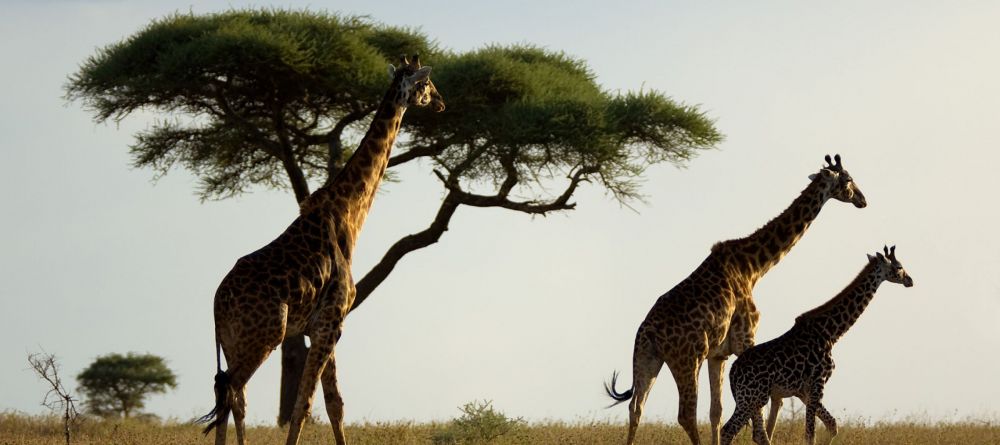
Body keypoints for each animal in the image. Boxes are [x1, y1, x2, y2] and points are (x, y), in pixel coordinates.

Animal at [196, 55, 446, 444]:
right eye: (426, 84)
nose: (441, 103)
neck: (348, 212)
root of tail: (217, 304)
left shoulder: (325, 324)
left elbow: (335, 404)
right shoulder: (331, 320)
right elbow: (306, 403)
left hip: (233, 340)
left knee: (230, 394)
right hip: (265, 335)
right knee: (234, 392)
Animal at [600, 153, 868, 444]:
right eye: (848, 179)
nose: (863, 200)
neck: (753, 268)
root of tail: (647, 330)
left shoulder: (719, 355)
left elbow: (716, 412)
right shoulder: (745, 338)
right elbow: (764, 406)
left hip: (647, 357)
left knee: (636, 408)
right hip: (687, 358)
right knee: (685, 414)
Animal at [720, 246, 916, 444]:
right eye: (899, 267)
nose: (910, 280)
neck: (831, 333)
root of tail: (732, 373)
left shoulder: (803, 391)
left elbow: (832, 425)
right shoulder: (817, 383)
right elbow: (810, 434)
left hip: (754, 398)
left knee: (757, 434)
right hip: (753, 397)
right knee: (728, 430)